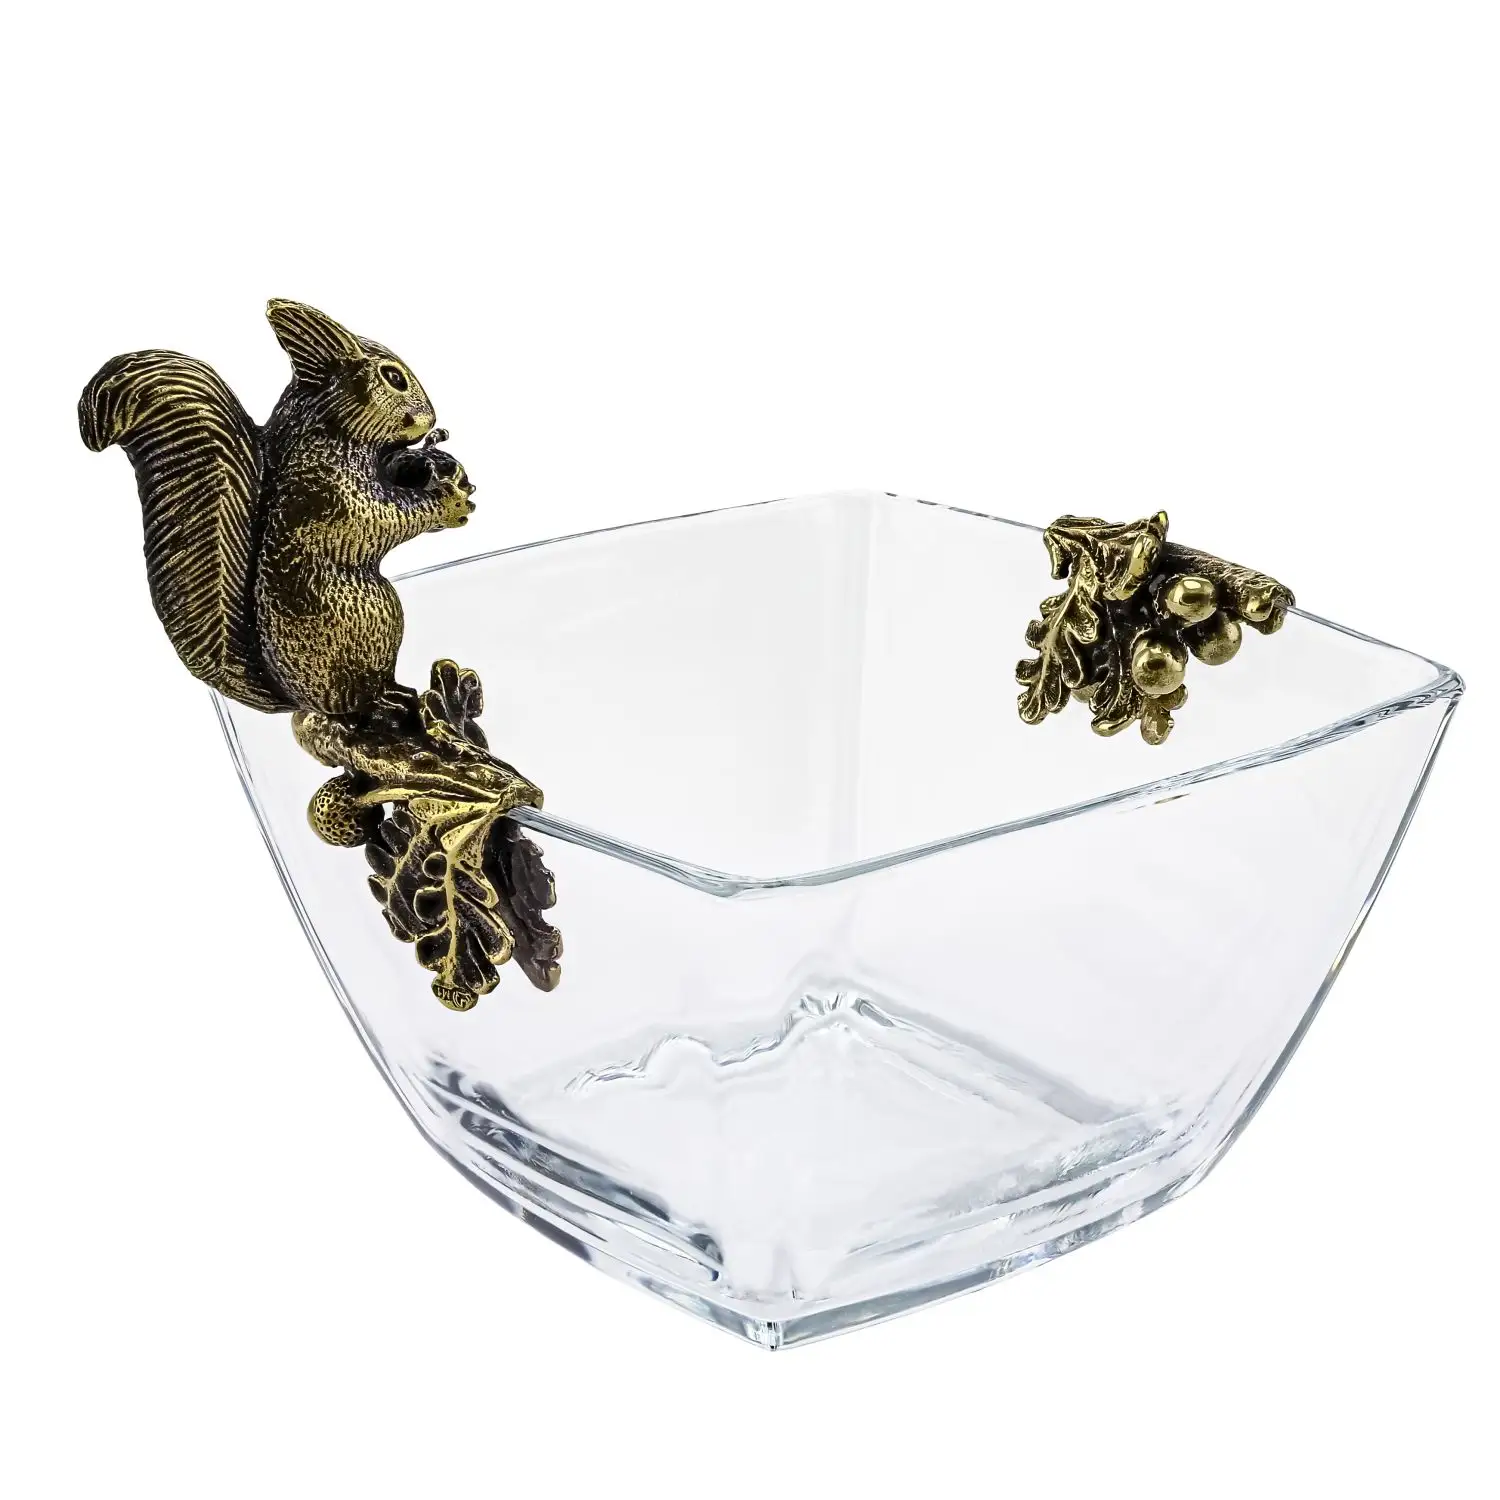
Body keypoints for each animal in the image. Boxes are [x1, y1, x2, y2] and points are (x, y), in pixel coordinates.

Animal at [79, 299, 476, 716]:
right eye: (394, 378)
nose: (432, 420)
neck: (333, 429)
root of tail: (296, 698)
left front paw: (432, 460)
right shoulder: (331, 495)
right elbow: (382, 519)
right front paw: (449, 500)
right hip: (368, 625)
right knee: (356, 702)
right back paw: (392, 701)